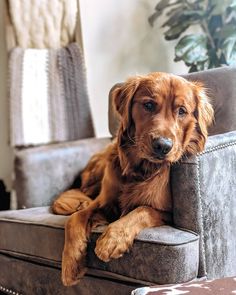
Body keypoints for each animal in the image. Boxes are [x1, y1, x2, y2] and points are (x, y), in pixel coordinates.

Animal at [51, 71, 214, 286]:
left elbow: (142, 210)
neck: (140, 169)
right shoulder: (105, 202)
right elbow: (75, 218)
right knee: (83, 191)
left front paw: (112, 239)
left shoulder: (167, 213)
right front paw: (71, 263)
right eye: (149, 105)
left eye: (182, 111)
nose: (163, 145)